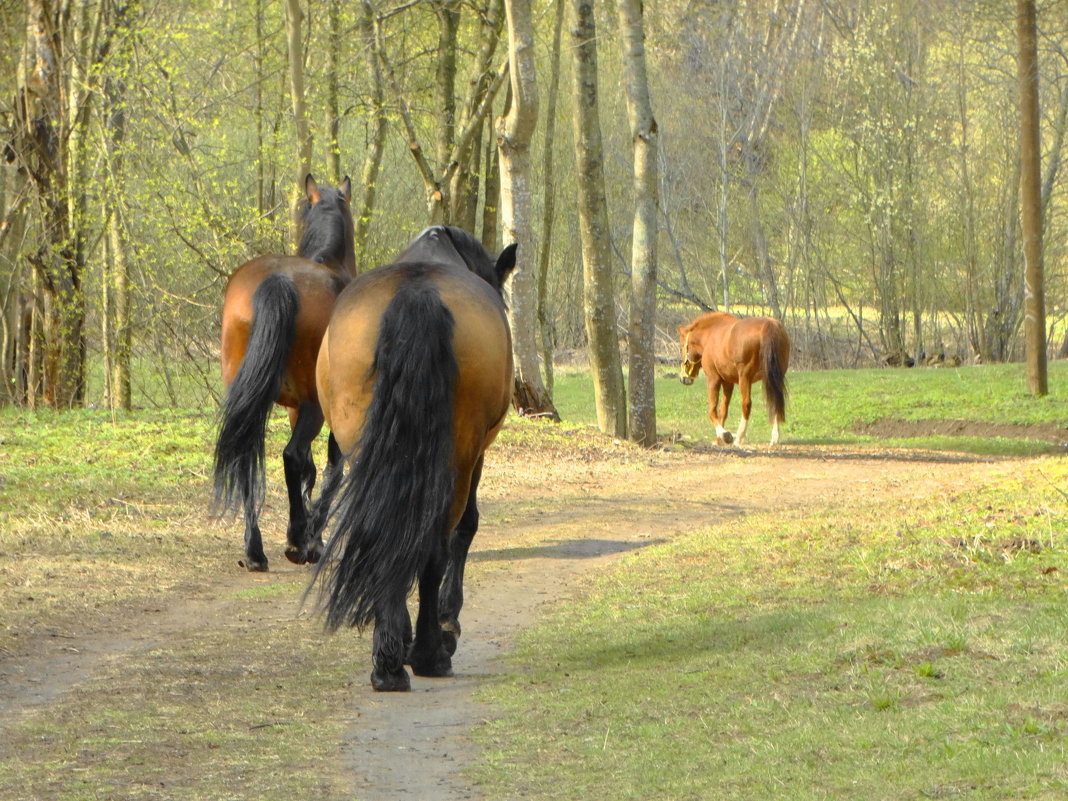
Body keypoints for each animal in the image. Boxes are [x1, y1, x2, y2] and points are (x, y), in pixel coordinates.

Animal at [212, 177, 354, 576]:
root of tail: (276, 281)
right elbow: (329, 468)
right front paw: (312, 537)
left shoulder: (292, 407)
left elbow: (310, 468)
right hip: (314, 405)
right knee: (292, 456)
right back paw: (295, 542)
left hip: (250, 397)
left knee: (247, 458)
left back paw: (254, 550)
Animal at [309, 227, 516, 696]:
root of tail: (417, 293)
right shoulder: (474, 459)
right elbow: (463, 531)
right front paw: (447, 624)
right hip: (457, 460)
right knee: (435, 542)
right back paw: (428, 653)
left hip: (365, 449)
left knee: (384, 531)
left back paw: (388, 661)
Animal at [679, 313, 790, 448]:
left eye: (681, 347)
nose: (683, 378)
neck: (711, 334)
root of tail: (770, 325)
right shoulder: (728, 382)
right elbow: (723, 410)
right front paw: (718, 439)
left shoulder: (713, 379)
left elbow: (712, 410)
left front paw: (724, 435)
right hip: (772, 378)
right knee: (776, 401)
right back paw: (774, 437)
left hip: (745, 378)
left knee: (746, 404)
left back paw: (739, 437)